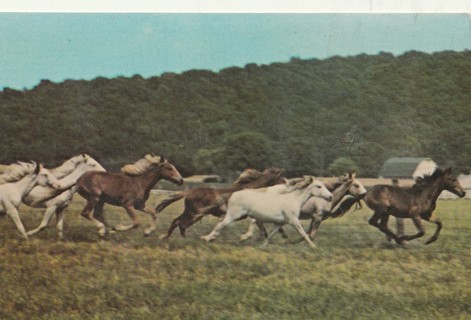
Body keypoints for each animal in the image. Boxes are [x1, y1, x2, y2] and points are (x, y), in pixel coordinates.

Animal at [157, 168, 286, 240]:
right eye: (282, 180)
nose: (288, 188)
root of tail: (188, 192)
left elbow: (264, 229)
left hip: (191, 213)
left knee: (177, 222)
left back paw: (169, 238)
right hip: (193, 213)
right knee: (180, 223)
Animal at [201, 176, 334, 249]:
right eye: (319, 186)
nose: (331, 197)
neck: (293, 199)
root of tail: (232, 194)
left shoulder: (279, 223)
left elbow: (270, 235)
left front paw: (262, 246)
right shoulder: (293, 221)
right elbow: (304, 234)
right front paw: (314, 247)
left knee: (220, 223)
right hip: (235, 215)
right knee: (220, 225)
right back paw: (207, 238)